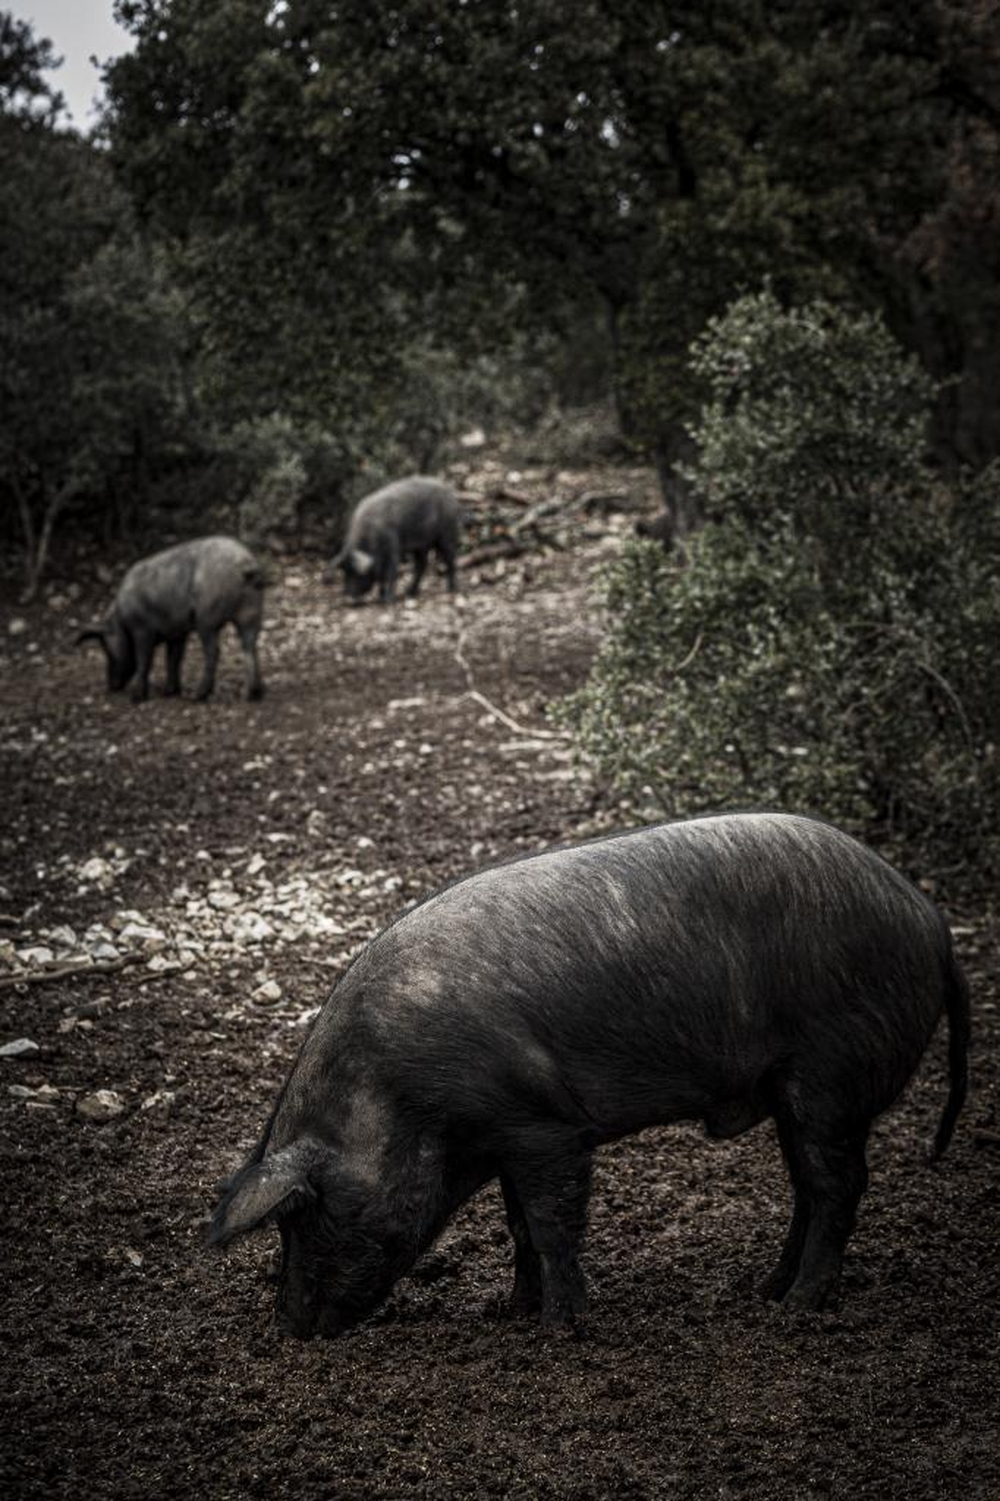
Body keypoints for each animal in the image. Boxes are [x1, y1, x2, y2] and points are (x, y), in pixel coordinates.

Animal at [76, 537, 264, 705]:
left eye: (106, 648)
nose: (112, 686)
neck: (121, 620)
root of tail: (244, 562)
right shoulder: (177, 632)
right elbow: (173, 659)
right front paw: (170, 692)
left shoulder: (141, 629)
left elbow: (145, 659)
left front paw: (136, 698)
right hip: (251, 611)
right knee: (250, 646)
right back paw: (253, 694)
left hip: (207, 618)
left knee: (214, 651)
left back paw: (197, 696)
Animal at [208, 816, 966, 1344]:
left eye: (304, 1217)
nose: (287, 1328)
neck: (397, 1098)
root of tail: (929, 919)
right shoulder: (507, 1137)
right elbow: (517, 1224)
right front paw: (508, 1311)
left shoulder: (543, 1126)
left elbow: (550, 1224)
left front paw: (557, 1328)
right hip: (795, 1089)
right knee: (808, 1187)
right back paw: (762, 1290)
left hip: (830, 1074)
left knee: (838, 1187)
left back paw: (800, 1308)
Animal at [325, 474, 462, 603]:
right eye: (345, 572)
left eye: (356, 574)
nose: (347, 594)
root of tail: (450, 493)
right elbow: (381, 577)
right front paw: (380, 597)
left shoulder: (393, 547)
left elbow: (391, 573)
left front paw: (388, 600)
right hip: (421, 546)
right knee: (422, 564)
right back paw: (410, 592)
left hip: (447, 534)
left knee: (450, 559)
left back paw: (452, 588)